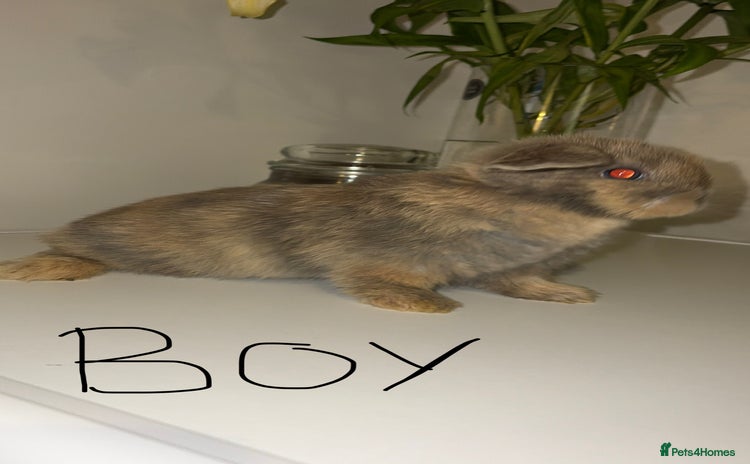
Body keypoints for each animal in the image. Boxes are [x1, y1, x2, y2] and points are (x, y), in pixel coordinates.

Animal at [0, 135, 711, 313]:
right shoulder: (379, 257)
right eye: (623, 173)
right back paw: (31, 269)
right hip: (98, 250)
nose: (708, 189)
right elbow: (378, 280)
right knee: (81, 256)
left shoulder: (513, 269)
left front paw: (572, 295)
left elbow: (523, 284)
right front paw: (430, 311)